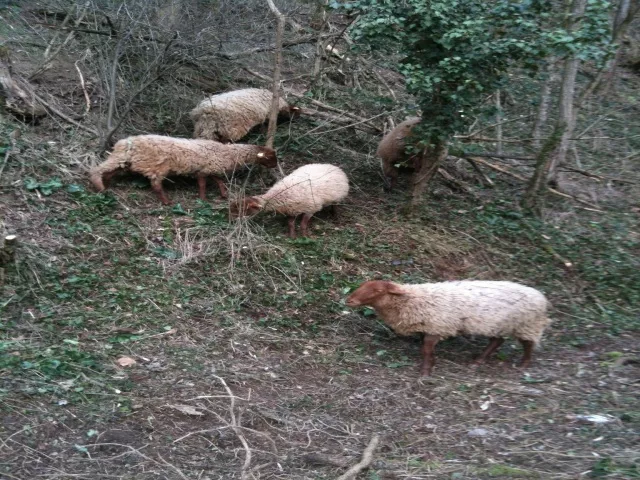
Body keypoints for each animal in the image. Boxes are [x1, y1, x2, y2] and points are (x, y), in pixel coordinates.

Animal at [90, 134, 278, 205]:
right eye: (270, 157)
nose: (276, 166)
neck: (228, 153)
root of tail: (124, 142)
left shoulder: (209, 168)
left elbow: (218, 181)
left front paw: (224, 194)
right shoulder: (204, 170)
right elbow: (203, 185)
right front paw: (203, 199)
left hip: (126, 160)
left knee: (112, 169)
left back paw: (105, 184)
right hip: (157, 166)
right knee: (155, 184)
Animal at [348, 280, 552, 376]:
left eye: (377, 291)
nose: (349, 300)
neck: (411, 300)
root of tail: (541, 297)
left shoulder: (437, 326)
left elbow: (426, 349)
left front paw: (425, 371)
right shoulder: (428, 327)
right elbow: (426, 348)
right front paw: (432, 363)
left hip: (527, 325)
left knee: (528, 344)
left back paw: (523, 364)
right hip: (497, 324)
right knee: (497, 340)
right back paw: (478, 361)